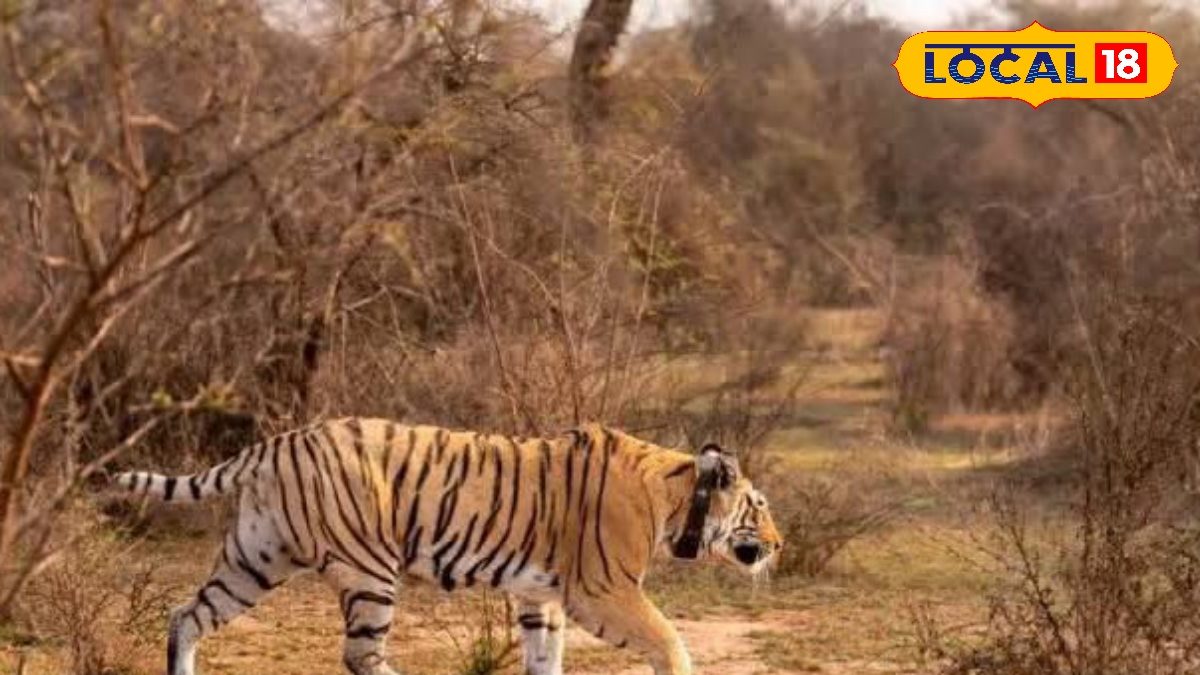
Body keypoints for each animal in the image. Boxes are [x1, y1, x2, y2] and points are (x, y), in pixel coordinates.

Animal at [114, 419, 783, 675]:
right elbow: (669, 640)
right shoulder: (604, 591)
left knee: (187, 616)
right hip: (369, 570)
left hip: (255, 559)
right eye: (759, 506)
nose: (779, 545)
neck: (677, 495)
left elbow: (545, 659)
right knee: (362, 655)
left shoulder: (541, 596)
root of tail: (276, 443)